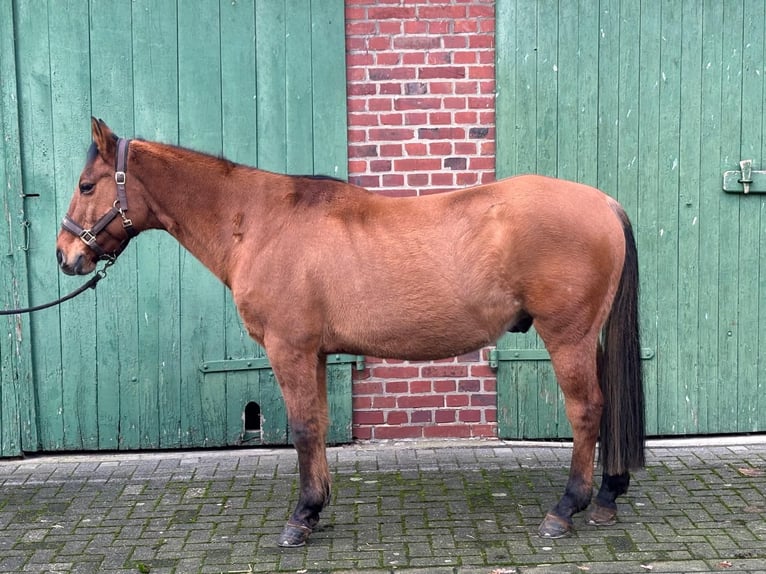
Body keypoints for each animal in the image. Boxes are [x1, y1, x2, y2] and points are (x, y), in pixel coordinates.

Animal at [56, 118, 645, 547]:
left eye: (87, 185)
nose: (66, 257)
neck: (259, 222)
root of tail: (605, 203)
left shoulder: (288, 349)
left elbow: (302, 429)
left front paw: (299, 519)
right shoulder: (313, 353)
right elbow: (317, 425)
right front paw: (316, 508)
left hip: (566, 336)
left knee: (586, 410)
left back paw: (565, 509)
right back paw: (608, 498)